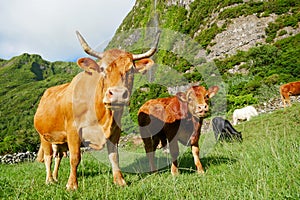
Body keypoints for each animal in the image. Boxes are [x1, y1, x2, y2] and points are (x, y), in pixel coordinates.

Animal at [34, 30, 161, 189]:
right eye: (102, 69)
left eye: (131, 70)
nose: (117, 94)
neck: (102, 117)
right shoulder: (73, 130)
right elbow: (75, 158)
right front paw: (72, 185)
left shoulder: (115, 131)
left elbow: (114, 156)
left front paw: (120, 181)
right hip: (44, 136)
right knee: (48, 157)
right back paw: (49, 180)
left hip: (59, 140)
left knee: (58, 156)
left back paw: (56, 178)